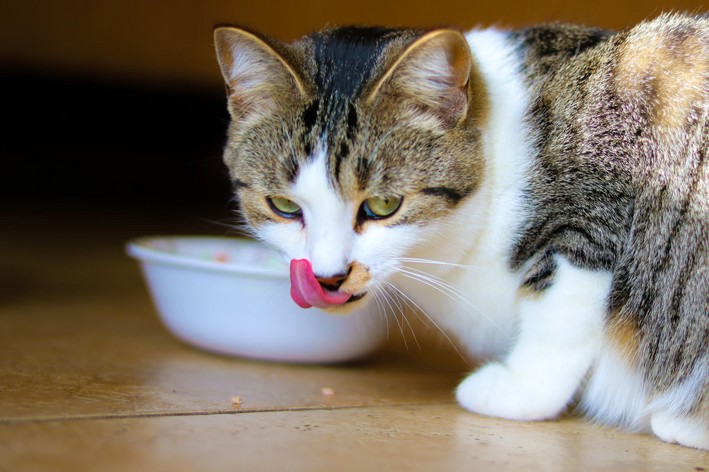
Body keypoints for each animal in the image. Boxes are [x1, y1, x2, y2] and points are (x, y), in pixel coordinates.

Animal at [213, 13, 704, 450]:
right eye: (284, 206)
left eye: (383, 206)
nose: (327, 277)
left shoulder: (595, 203)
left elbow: (559, 316)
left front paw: (519, 390)